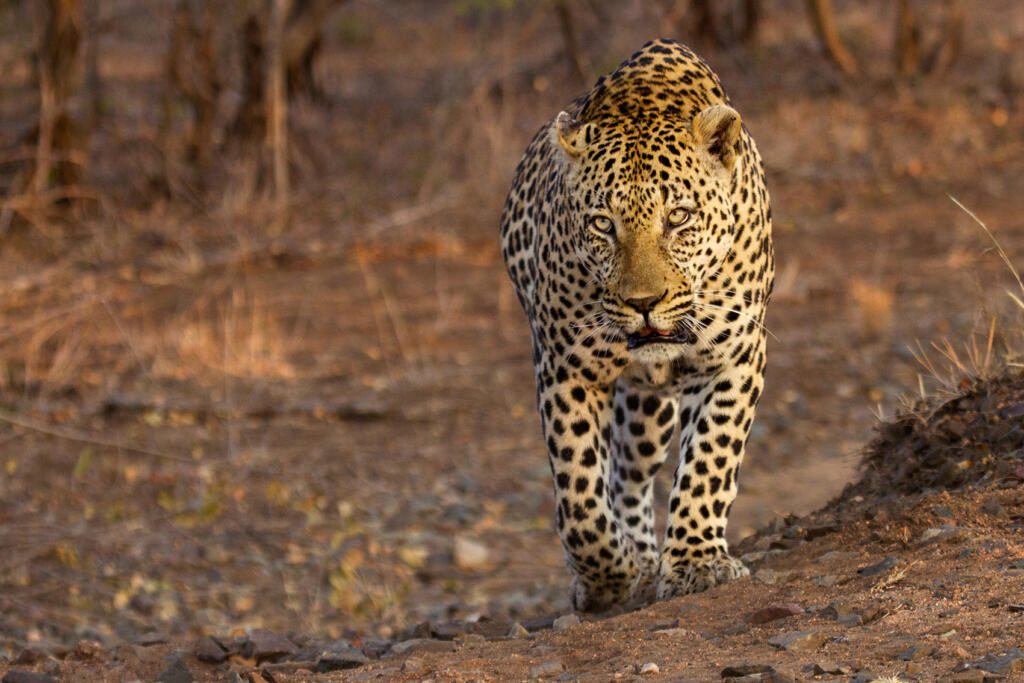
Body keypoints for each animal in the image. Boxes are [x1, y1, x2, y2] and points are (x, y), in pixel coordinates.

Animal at [500, 39, 774, 612]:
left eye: (680, 217)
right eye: (603, 224)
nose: (644, 303)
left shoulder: (735, 359)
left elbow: (710, 460)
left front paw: (696, 562)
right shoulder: (567, 369)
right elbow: (579, 490)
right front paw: (609, 577)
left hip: (651, 410)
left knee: (632, 472)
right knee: (620, 475)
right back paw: (636, 558)